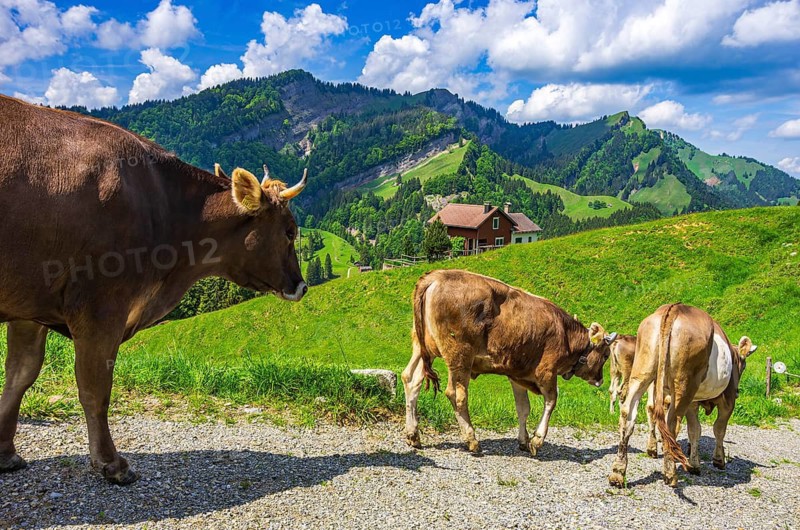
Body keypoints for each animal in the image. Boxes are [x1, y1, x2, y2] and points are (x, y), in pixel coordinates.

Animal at [0, 95, 308, 484]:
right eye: (289, 230)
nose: (302, 285)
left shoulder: (29, 307)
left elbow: (20, 375)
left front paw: (5, 453)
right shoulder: (101, 307)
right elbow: (95, 388)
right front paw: (111, 464)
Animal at [402, 270, 618, 455]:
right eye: (606, 354)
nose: (600, 380)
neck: (564, 333)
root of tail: (435, 276)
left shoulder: (517, 373)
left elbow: (523, 408)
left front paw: (523, 440)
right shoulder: (547, 372)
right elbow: (551, 401)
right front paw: (537, 440)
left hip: (422, 347)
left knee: (411, 380)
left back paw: (413, 435)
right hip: (459, 355)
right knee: (456, 394)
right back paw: (472, 440)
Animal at [608, 303, 756, 488]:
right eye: (744, 366)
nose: (737, 392)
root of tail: (674, 308)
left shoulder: (693, 402)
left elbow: (695, 430)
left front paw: (694, 464)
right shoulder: (727, 401)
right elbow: (719, 429)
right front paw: (719, 460)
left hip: (643, 371)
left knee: (629, 413)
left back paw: (618, 472)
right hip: (683, 385)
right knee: (671, 422)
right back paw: (670, 473)